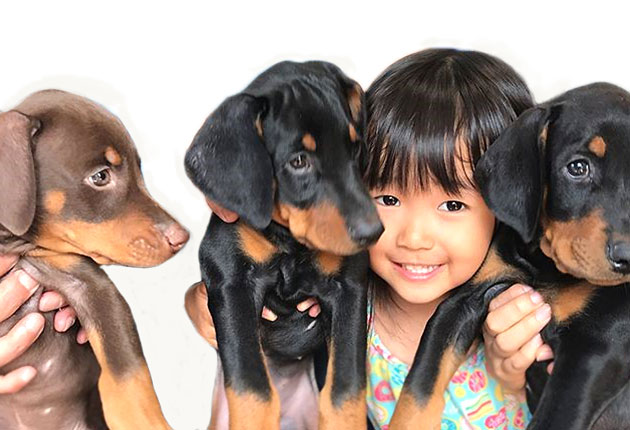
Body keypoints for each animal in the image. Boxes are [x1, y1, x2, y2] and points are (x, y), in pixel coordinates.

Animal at [186, 61, 386, 430]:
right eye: (298, 162)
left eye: (354, 149)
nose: (373, 232)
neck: (291, 243)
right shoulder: (232, 280)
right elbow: (252, 389)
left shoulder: (349, 286)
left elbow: (345, 391)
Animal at [388, 82, 630, 428]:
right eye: (577, 168)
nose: (627, 257)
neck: (545, 267)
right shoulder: (463, 301)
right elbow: (418, 387)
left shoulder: (595, 347)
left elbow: (552, 418)